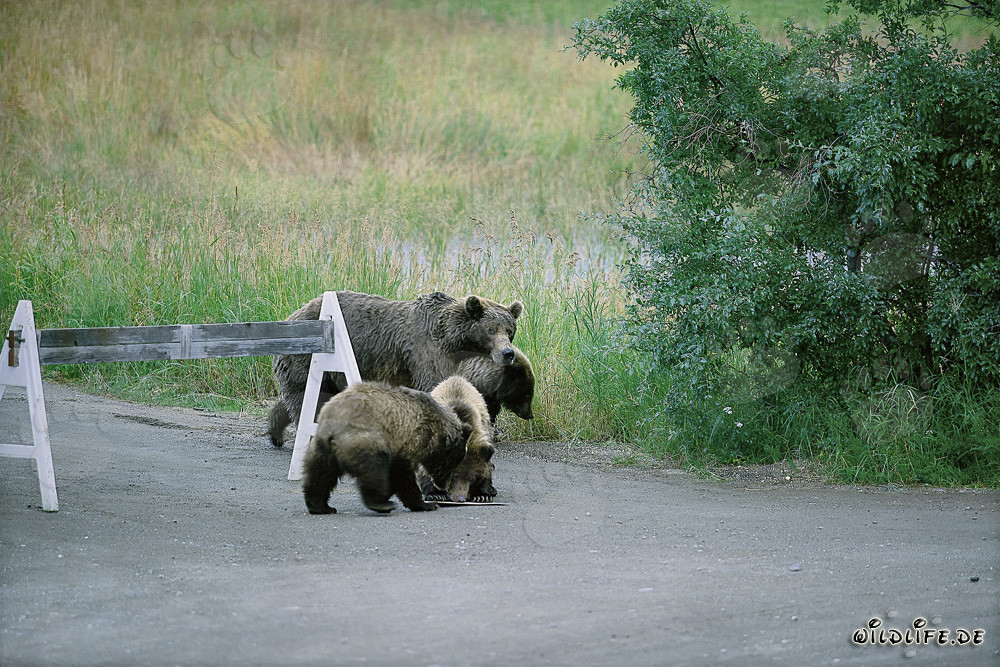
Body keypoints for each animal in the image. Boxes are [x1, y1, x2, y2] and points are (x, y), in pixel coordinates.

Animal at [268, 290, 523, 448]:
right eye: (491, 329)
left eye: (509, 330)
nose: (507, 353)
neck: (451, 340)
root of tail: (293, 314)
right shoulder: (425, 350)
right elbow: (435, 384)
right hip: (307, 354)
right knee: (304, 395)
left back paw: (276, 431)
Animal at [301, 381, 475, 515]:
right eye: (449, 465)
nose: (443, 486)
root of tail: (333, 422)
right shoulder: (410, 438)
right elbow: (401, 473)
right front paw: (426, 504)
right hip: (364, 437)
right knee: (373, 468)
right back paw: (380, 504)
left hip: (322, 447)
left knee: (320, 474)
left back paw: (320, 506)